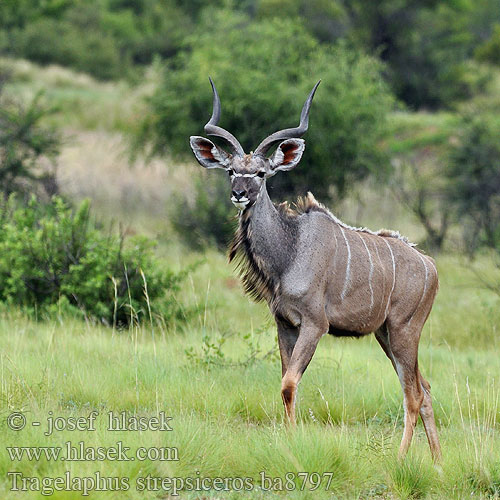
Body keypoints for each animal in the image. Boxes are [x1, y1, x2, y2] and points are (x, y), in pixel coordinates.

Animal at [188, 79, 442, 460]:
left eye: (261, 174)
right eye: (231, 170)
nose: (239, 193)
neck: (290, 250)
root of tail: (431, 266)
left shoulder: (314, 323)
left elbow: (289, 383)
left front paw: (293, 444)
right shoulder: (285, 324)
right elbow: (285, 381)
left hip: (404, 331)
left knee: (412, 394)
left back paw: (400, 459)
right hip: (385, 334)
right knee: (423, 388)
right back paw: (438, 462)